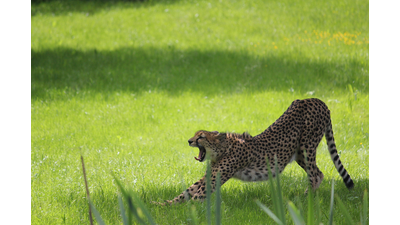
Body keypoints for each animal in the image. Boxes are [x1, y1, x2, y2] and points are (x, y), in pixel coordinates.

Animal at [159, 98, 354, 206]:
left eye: (201, 137)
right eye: (195, 135)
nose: (189, 141)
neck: (223, 148)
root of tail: (317, 100)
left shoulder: (216, 178)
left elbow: (197, 195)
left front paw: (185, 210)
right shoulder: (210, 175)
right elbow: (186, 192)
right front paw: (162, 204)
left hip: (306, 147)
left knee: (314, 174)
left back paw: (307, 200)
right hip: (300, 153)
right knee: (318, 173)